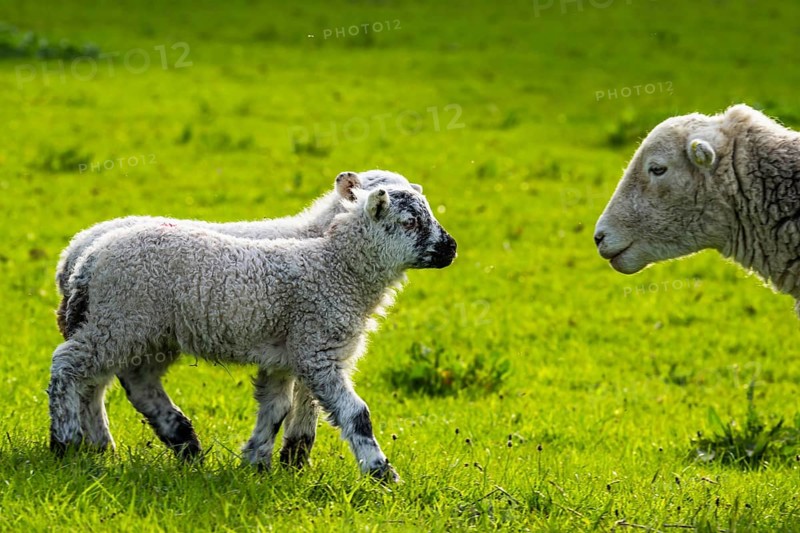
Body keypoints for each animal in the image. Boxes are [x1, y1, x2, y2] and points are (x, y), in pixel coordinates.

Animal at [50, 183, 457, 482]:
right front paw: (382, 473)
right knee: (67, 365)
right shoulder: (316, 349)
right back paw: (64, 441)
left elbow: (276, 409)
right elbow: (356, 414)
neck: (337, 267)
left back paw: (177, 442)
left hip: (144, 332)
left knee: (131, 381)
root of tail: (86, 257)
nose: (451, 248)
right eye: (409, 222)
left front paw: (256, 462)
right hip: (119, 320)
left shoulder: (284, 356)